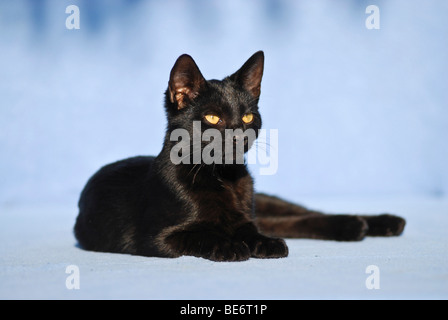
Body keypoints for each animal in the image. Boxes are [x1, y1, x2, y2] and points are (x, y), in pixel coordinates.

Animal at [74, 52, 406, 262]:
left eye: (247, 117)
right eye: (212, 117)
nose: (237, 135)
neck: (222, 177)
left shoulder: (246, 219)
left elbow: (251, 230)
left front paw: (263, 243)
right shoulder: (155, 238)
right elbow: (199, 235)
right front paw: (229, 245)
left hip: (266, 202)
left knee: (305, 213)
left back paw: (378, 223)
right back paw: (358, 227)